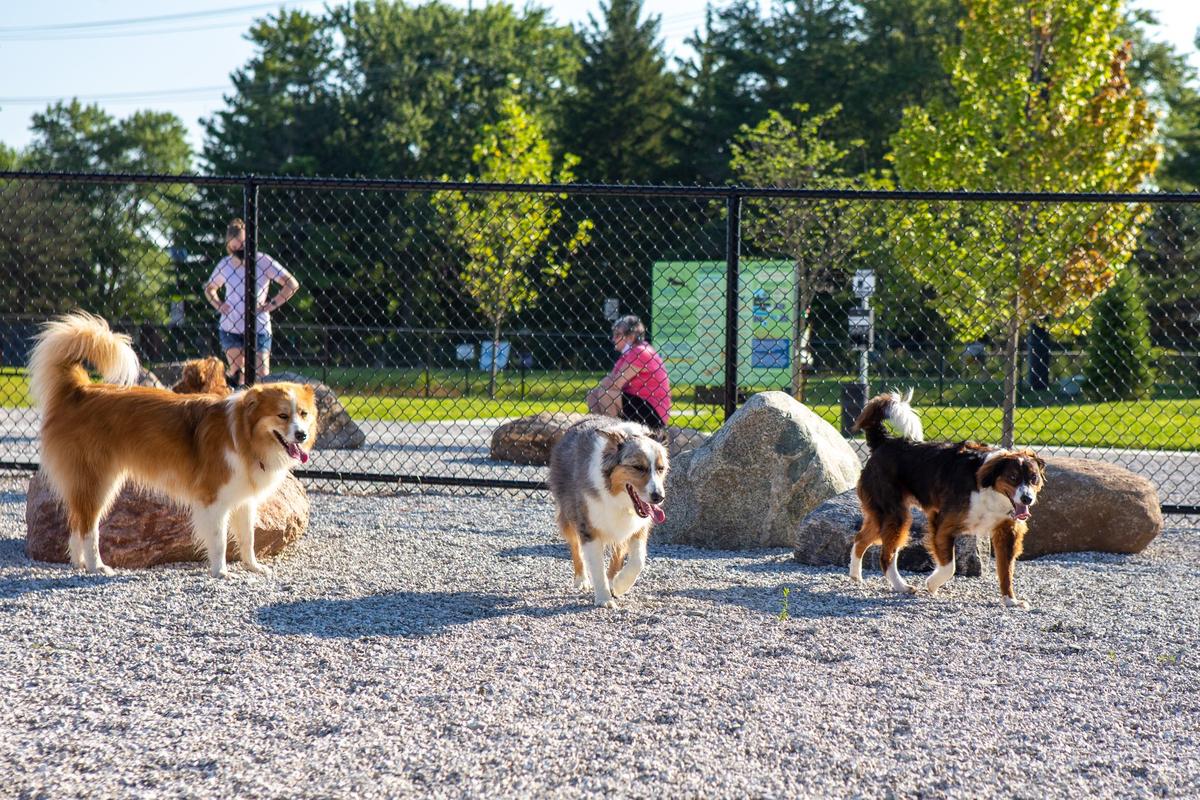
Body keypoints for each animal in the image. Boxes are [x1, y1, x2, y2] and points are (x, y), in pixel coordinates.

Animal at [29, 311, 316, 575]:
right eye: (282, 415)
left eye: (303, 414)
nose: (301, 435)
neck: (244, 434)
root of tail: (79, 390)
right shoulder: (213, 499)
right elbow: (219, 541)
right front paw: (221, 572)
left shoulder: (244, 499)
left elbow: (248, 538)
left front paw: (253, 567)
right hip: (97, 480)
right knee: (89, 528)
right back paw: (96, 566)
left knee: (76, 524)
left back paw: (79, 563)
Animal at [549, 419, 672, 606]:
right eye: (638, 467)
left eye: (660, 468)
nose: (659, 497)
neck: (618, 499)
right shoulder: (588, 527)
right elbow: (597, 566)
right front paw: (603, 598)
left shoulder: (639, 526)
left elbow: (638, 560)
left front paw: (620, 585)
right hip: (569, 513)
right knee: (575, 546)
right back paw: (581, 580)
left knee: (618, 552)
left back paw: (613, 580)